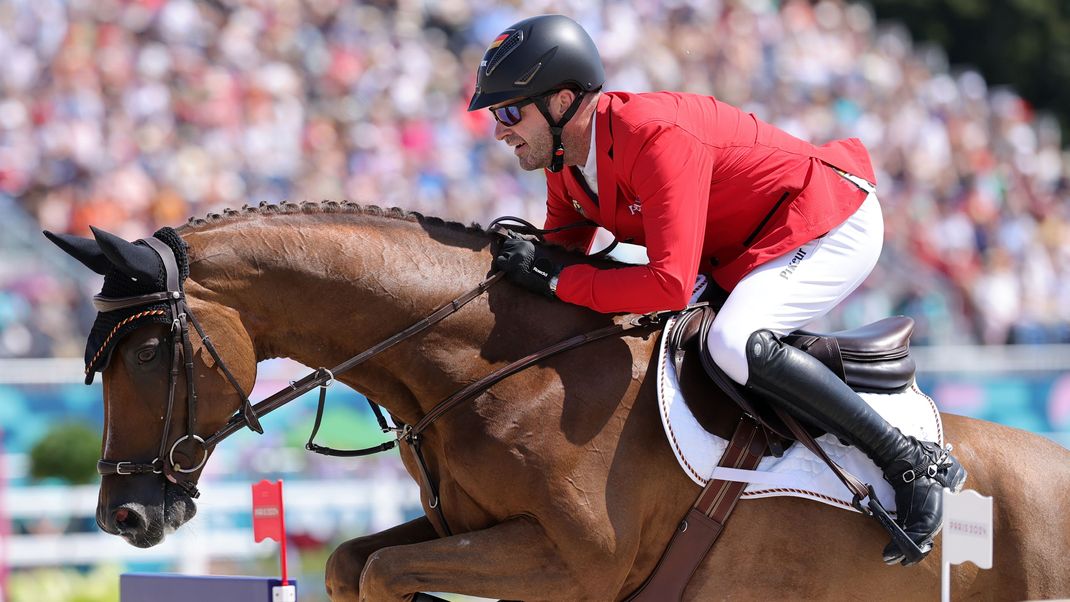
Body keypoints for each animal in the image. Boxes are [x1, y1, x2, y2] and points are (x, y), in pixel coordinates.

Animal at [46, 201, 1070, 598]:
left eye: (148, 351)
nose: (124, 515)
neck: (498, 370)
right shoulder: (464, 527)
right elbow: (352, 562)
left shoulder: (573, 564)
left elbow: (380, 572)